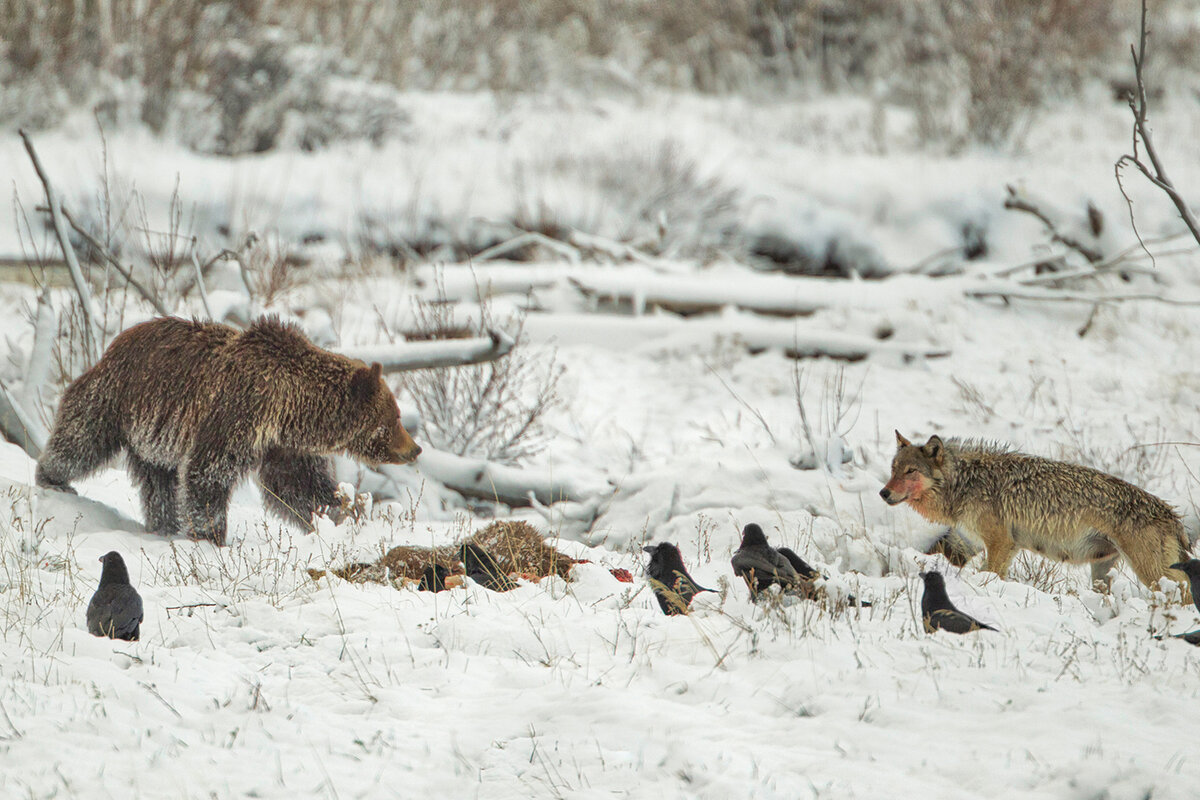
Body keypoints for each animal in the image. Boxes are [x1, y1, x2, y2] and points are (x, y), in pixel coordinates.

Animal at [36, 316, 422, 546]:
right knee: (80, 439)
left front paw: (341, 511)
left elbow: (298, 486)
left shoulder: (280, 445)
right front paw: (212, 535)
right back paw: (52, 478)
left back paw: (164, 525)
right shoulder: (238, 414)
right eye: (394, 417)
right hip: (117, 399)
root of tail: (116, 341)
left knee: (158, 483)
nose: (414, 449)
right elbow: (208, 474)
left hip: (154, 440)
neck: (292, 407)